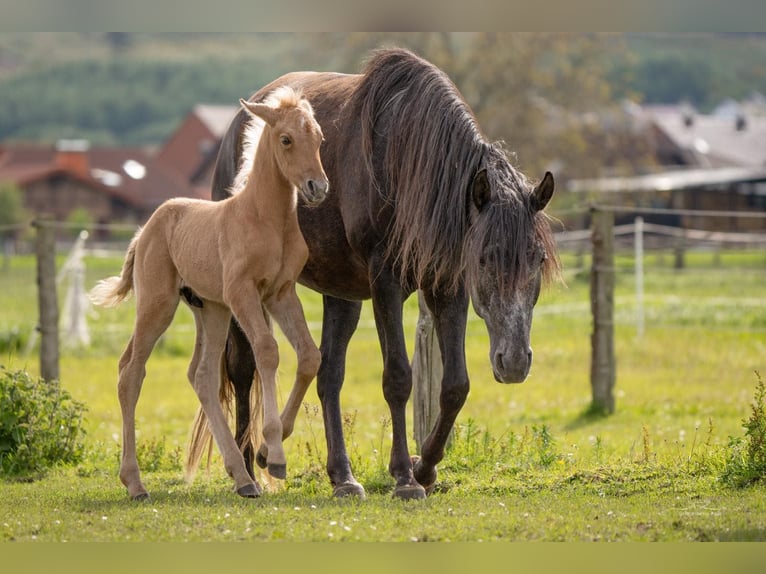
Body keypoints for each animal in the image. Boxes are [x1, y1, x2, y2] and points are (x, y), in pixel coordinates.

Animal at [91, 88, 330, 502]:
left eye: (319, 138)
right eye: (286, 139)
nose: (318, 188)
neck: (266, 219)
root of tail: (144, 230)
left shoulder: (280, 294)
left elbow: (309, 356)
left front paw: (265, 454)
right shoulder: (242, 293)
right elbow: (268, 352)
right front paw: (275, 454)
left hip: (210, 309)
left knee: (200, 375)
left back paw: (243, 478)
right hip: (159, 305)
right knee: (130, 372)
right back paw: (135, 483)